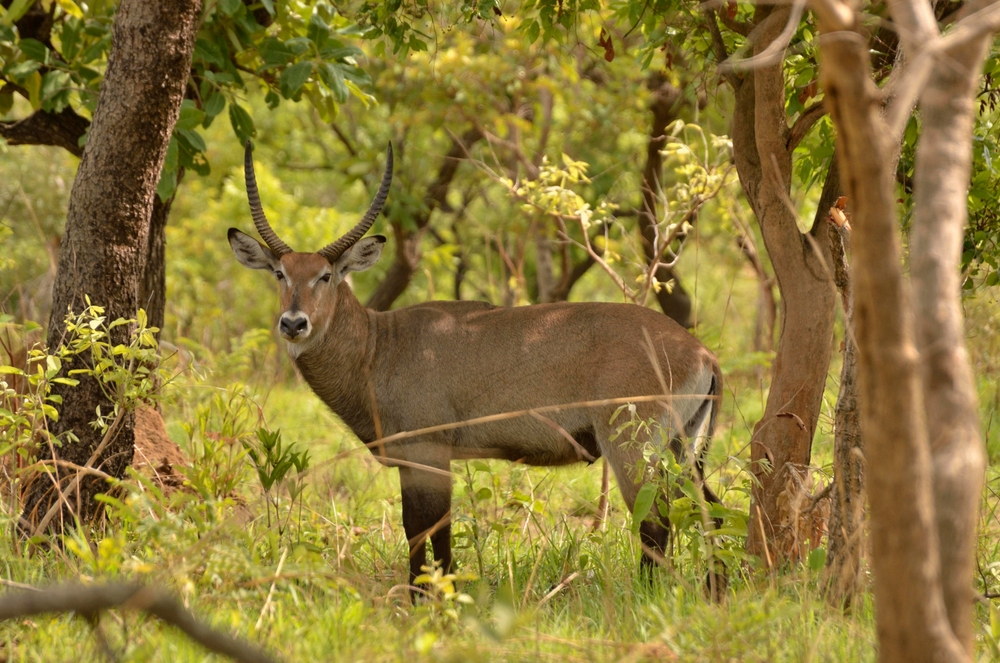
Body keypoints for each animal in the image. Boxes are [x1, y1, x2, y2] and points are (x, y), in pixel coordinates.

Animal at [229, 143, 724, 592]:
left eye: (326, 275)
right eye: (280, 273)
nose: (294, 323)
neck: (378, 346)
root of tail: (702, 352)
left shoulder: (427, 453)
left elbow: (427, 533)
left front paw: (426, 601)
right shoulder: (420, 459)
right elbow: (427, 533)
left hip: (634, 448)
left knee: (655, 521)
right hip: (682, 449)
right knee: (711, 511)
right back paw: (715, 589)